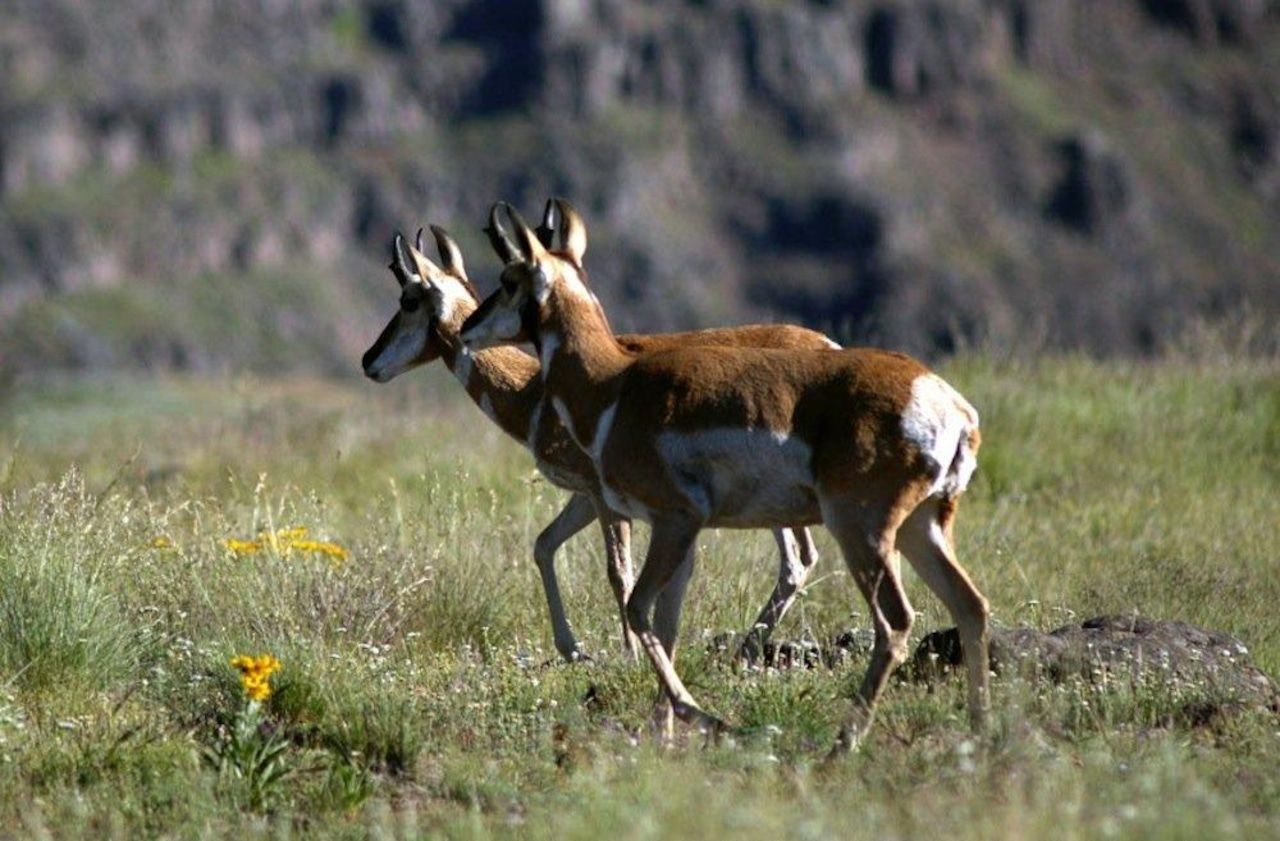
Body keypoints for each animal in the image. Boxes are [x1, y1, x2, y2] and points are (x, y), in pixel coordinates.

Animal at [361, 210, 839, 665]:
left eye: (408, 300)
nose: (368, 360)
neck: (536, 390)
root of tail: (827, 347)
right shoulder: (585, 496)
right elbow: (543, 545)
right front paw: (573, 649)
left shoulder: (607, 497)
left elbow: (617, 570)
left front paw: (628, 652)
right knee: (800, 560)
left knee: (797, 560)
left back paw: (744, 650)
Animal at [460, 200, 990, 750]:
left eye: (508, 277)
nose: (465, 330)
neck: (612, 384)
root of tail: (944, 400)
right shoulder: (681, 536)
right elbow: (666, 625)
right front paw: (664, 735)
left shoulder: (673, 521)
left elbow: (638, 608)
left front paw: (701, 717)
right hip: (921, 528)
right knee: (970, 606)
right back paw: (979, 732)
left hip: (861, 532)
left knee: (895, 621)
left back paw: (844, 741)